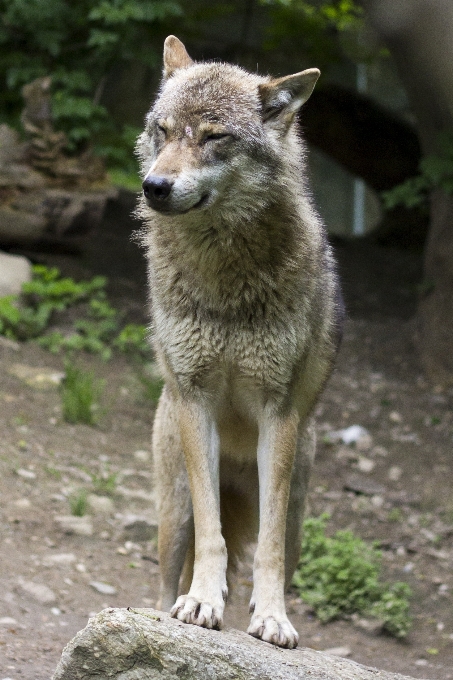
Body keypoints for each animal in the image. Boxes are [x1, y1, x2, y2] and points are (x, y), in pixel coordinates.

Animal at [136, 35, 340, 648]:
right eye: (163, 130)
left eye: (213, 137)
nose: (154, 186)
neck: (224, 274)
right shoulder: (195, 398)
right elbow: (213, 535)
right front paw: (203, 602)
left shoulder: (278, 412)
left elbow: (265, 550)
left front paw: (271, 619)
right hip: (172, 509)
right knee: (168, 576)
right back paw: (168, 610)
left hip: (298, 512)